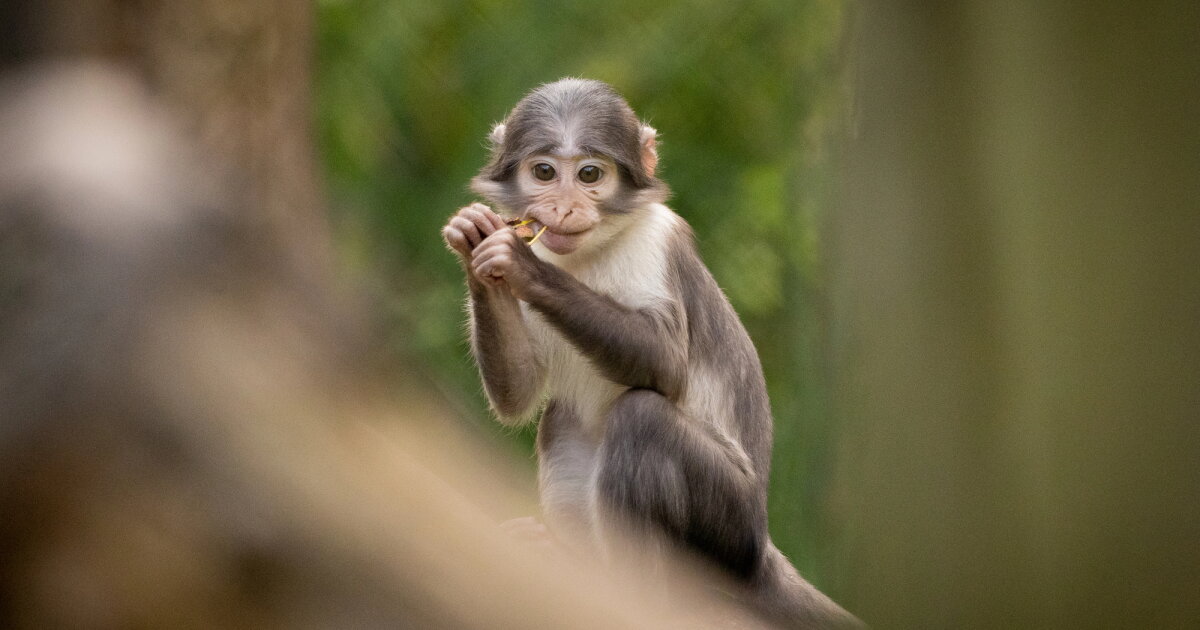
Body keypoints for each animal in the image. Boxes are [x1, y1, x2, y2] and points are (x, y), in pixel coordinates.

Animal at [442, 78, 861, 629]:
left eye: (590, 174)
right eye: (545, 172)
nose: (562, 209)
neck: (589, 252)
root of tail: (760, 549)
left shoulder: (658, 239)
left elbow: (665, 362)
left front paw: (522, 265)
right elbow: (519, 393)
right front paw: (475, 241)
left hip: (731, 523)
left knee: (643, 420)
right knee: (561, 418)